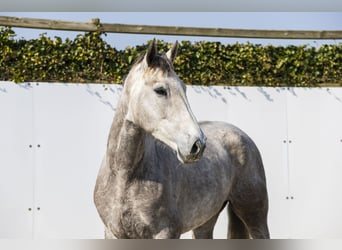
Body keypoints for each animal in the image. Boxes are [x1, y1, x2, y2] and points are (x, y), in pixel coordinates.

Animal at [93, 40, 270, 239]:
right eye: (160, 90)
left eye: (184, 88)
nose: (197, 144)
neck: (124, 175)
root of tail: (242, 135)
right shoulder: (113, 233)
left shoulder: (166, 233)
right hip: (205, 222)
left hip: (254, 215)